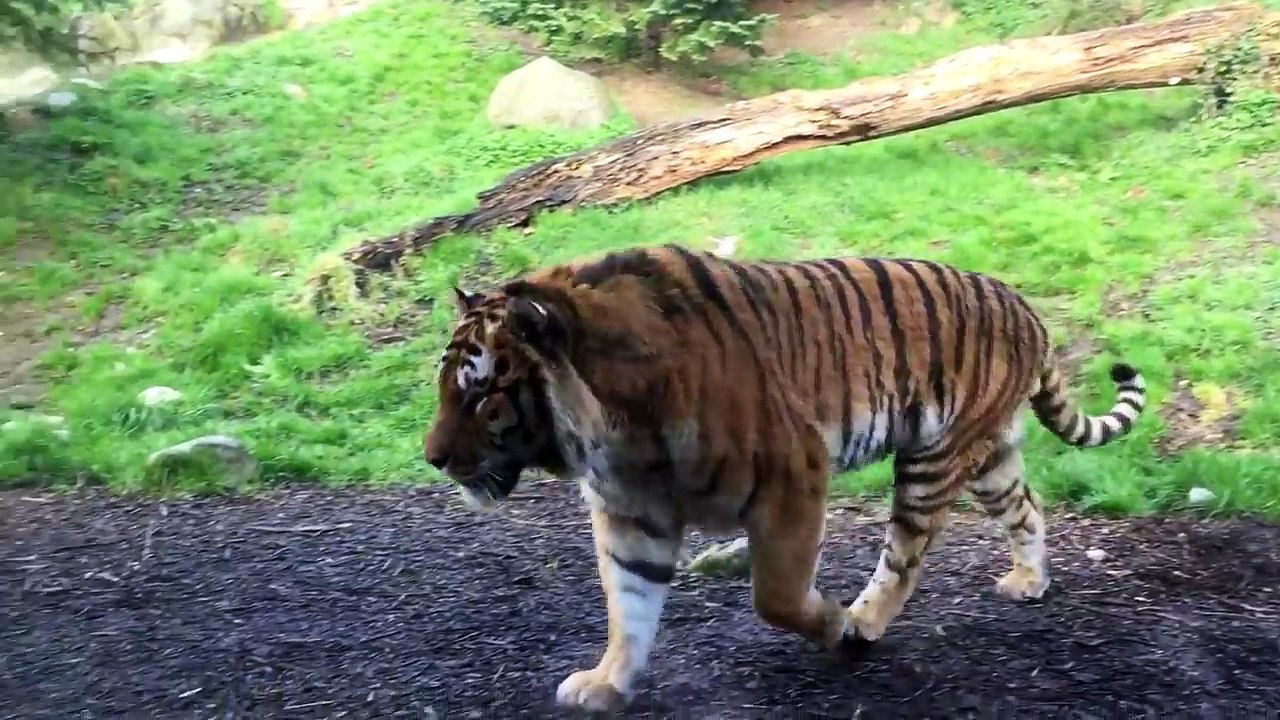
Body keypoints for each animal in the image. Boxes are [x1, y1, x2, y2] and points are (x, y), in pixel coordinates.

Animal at [423, 243, 1147, 712]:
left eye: (482, 394)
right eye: (444, 386)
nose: (432, 457)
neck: (616, 424)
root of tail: (1027, 308)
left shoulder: (793, 476)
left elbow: (776, 595)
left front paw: (834, 626)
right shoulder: (631, 510)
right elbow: (628, 606)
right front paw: (607, 684)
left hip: (934, 456)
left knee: (904, 556)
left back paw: (866, 621)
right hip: (989, 457)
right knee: (1027, 508)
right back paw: (1030, 580)